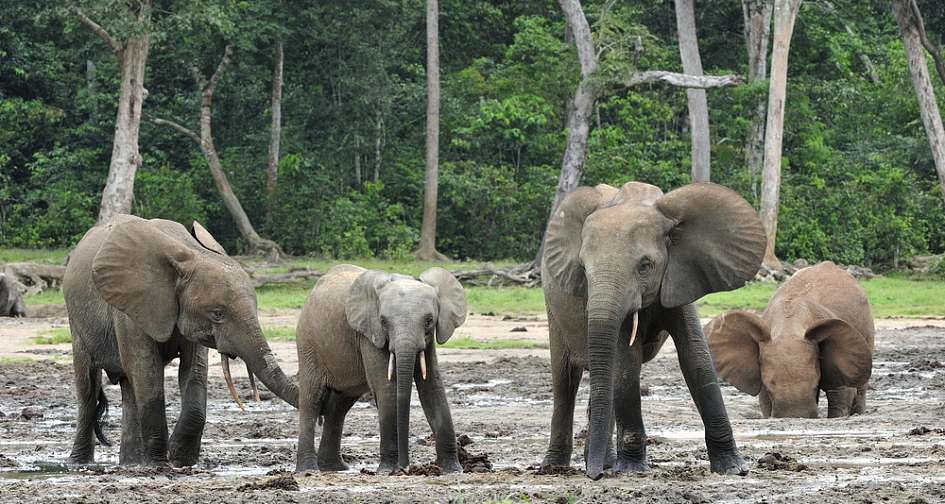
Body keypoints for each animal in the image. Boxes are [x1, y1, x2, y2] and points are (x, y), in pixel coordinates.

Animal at [63, 214, 299, 468]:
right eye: (217, 314)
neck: (189, 253)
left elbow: (193, 370)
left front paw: (179, 459)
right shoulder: (130, 308)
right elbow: (146, 370)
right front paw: (160, 463)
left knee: (128, 388)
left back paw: (131, 464)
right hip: (77, 324)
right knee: (88, 389)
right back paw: (80, 464)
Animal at [295, 264, 465, 473]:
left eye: (429, 320)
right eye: (383, 321)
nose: (405, 466)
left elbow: (433, 386)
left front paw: (453, 469)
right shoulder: (369, 334)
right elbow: (386, 387)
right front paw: (388, 469)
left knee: (339, 405)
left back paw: (333, 467)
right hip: (308, 342)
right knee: (311, 400)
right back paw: (308, 470)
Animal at [540, 181, 766, 480]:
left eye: (645, 266)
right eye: (584, 269)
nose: (595, 476)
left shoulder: (682, 273)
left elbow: (696, 358)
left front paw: (733, 469)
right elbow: (626, 363)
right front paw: (632, 471)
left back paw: (605, 462)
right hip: (552, 309)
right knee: (565, 382)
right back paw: (555, 467)